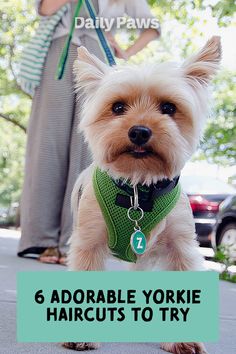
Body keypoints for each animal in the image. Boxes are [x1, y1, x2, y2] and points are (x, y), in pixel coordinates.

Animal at [63, 36, 220, 354]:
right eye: (118, 107)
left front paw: (184, 339)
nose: (139, 132)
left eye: (169, 108)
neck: (138, 187)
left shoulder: (180, 247)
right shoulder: (88, 242)